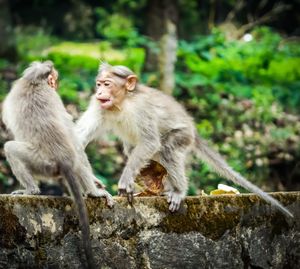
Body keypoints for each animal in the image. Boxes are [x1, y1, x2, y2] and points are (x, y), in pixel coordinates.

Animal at [2, 60, 115, 268]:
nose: (55, 85)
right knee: (77, 156)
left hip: (41, 163)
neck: (34, 81)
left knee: (10, 148)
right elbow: (74, 139)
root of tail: (61, 160)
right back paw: (91, 190)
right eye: (53, 80)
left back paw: (31, 191)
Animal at [75, 61, 292, 217]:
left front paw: (126, 179)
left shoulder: (142, 108)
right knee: (136, 150)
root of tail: (193, 130)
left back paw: (178, 190)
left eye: (107, 84)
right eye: (99, 84)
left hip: (182, 135)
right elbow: (77, 138)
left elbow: (150, 142)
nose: (99, 92)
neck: (123, 102)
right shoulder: (98, 105)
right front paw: (96, 183)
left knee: (167, 149)